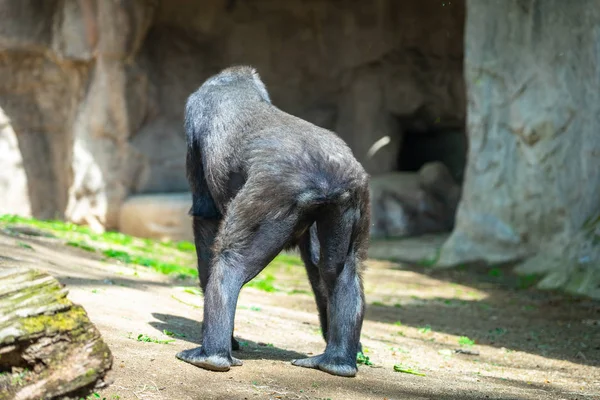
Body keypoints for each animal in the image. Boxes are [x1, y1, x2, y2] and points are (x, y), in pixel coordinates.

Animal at [175, 65, 370, 378]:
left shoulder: (194, 114)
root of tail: (322, 173)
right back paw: (337, 361)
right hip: (352, 194)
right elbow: (318, 267)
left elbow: (206, 217)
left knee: (231, 261)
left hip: (272, 193)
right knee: (342, 272)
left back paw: (211, 355)